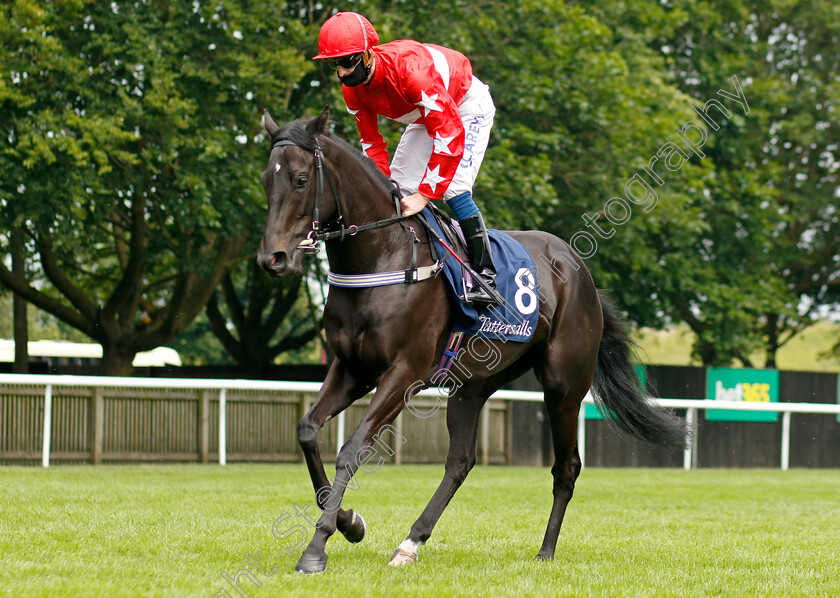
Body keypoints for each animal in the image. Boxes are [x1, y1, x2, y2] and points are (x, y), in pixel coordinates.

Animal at [254, 108, 684, 576]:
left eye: (300, 180)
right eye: (265, 180)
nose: (273, 258)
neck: (382, 255)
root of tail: (579, 269)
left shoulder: (403, 372)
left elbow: (352, 449)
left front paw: (317, 546)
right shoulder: (353, 368)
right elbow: (307, 431)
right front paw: (350, 523)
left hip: (564, 385)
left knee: (566, 466)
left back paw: (546, 550)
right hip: (472, 385)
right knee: (460, 461)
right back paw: (411, 542)